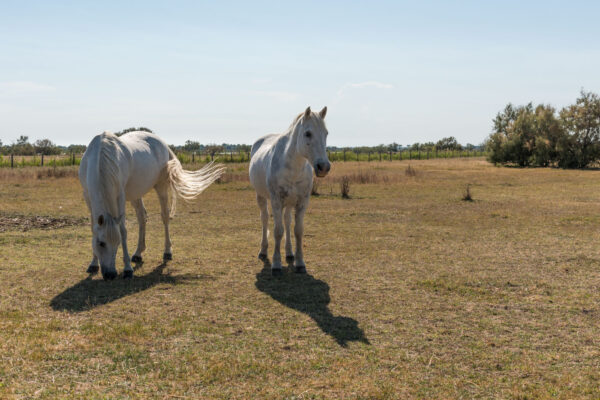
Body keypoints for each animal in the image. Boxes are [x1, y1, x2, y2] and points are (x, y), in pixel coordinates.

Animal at [77, 130, 223, 280]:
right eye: (101, 243)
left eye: (117, 243)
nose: (111, 274)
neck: (100, 159)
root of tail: (162, 143)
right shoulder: (87, 196)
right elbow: (93, 229)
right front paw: (93, 264)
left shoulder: (120, 197)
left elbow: (123, 231)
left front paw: (127, 269)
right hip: (136, 194)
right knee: (142, 217)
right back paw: (138, 253)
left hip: (161, 187)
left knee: (165, 216)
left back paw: (167, 252)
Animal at [250, 105, 332, 276]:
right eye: (308, 133)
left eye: (326, 133)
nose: (323, 167)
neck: (294, 167)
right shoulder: (276, 201)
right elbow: (277, 231)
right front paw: (276, 264)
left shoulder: (302, 202)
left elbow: (297, 230)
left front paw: (300, 263)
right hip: (261, 196)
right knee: (265, 219)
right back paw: (263, 251)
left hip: (288, 202)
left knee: (287, 221)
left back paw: (289, 253)